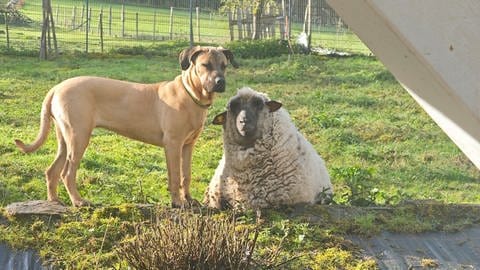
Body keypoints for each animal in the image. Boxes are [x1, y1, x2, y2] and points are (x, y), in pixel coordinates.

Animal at [15, 46, 237, 207]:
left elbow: (186, 175)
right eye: (205, 65)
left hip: (65, 137)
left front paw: (189, 200)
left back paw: (54, 201)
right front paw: (177, 202)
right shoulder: (173, 144)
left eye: (224, 65)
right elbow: (175, 176)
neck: (191, 94)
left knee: (51, 171)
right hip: (79, 137)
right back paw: (78, 201)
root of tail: (56, 88)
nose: (220, 82)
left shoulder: (188, 145)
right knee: (67, 173)